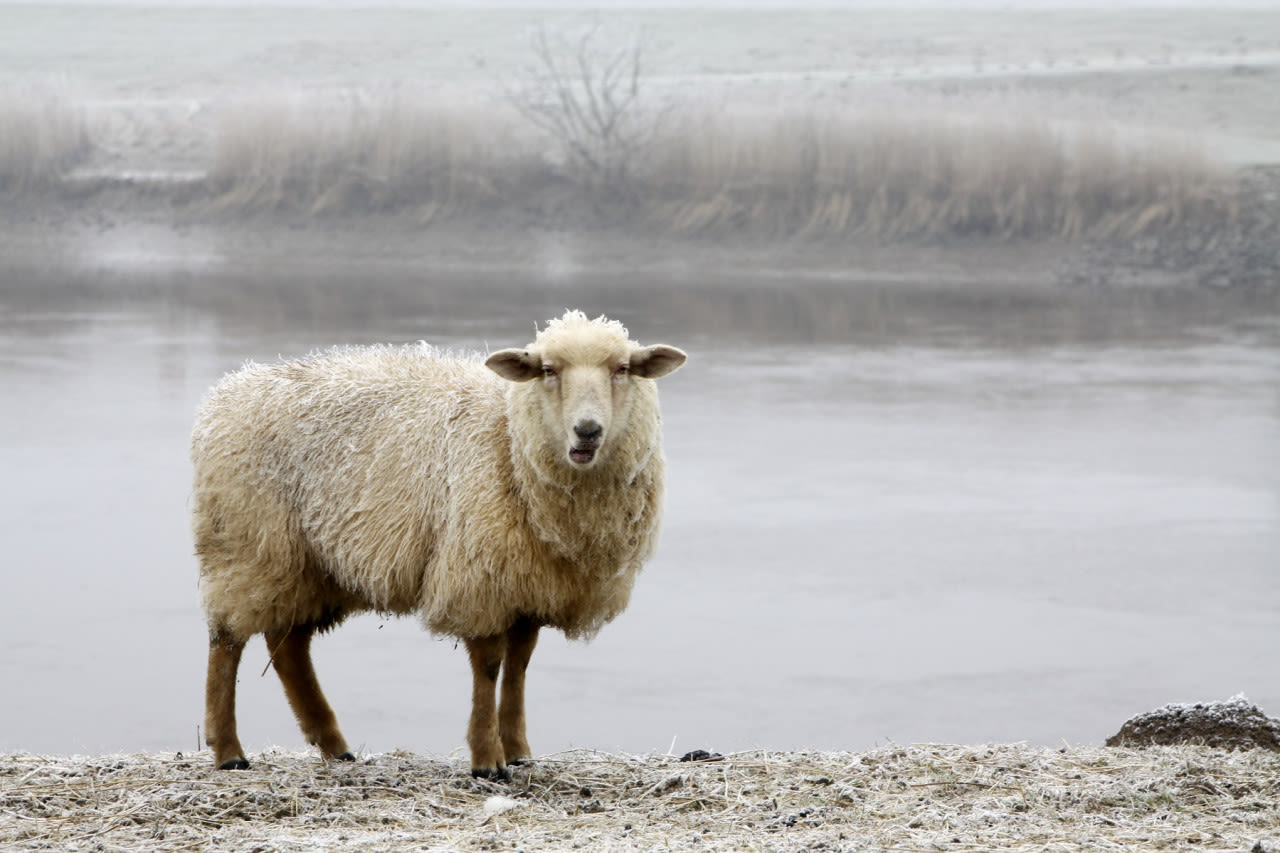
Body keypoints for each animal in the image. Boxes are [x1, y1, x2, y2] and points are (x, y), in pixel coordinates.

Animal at [189, 308, 686, 773]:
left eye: (622, 368)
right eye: (548, 370)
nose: (587, 430)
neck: (508, 438)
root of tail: (229, 391)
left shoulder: (527, 582)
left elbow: (519, 666)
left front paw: (518, 751)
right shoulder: (479, 573)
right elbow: (489, 665)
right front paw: (487, 760)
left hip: (309, 564)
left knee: (288, 647)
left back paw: (334, 745)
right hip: (247, 543)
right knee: (227, 640)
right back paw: (228, 750)